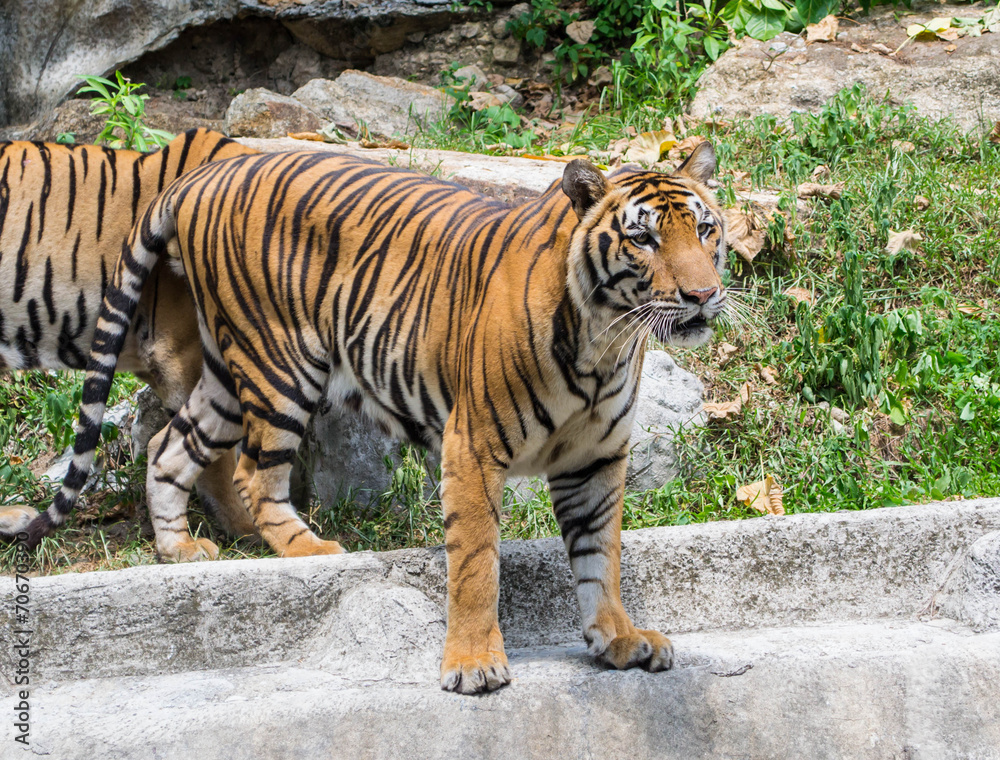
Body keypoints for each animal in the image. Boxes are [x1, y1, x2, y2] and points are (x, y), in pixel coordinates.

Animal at [27, 140, 728, 693]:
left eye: (705, 231)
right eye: (643, 238)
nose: (702, 295)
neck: (604, 342)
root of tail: (206, 171)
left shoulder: (596, 459)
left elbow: (599, 556)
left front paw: (617, 639)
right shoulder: (473, 446)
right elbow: (477, 563)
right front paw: (473, 664)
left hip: (226, 371)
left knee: (170, 447)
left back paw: (178, 551)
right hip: (281, 362)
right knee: (255, 472)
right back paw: (308, 548)